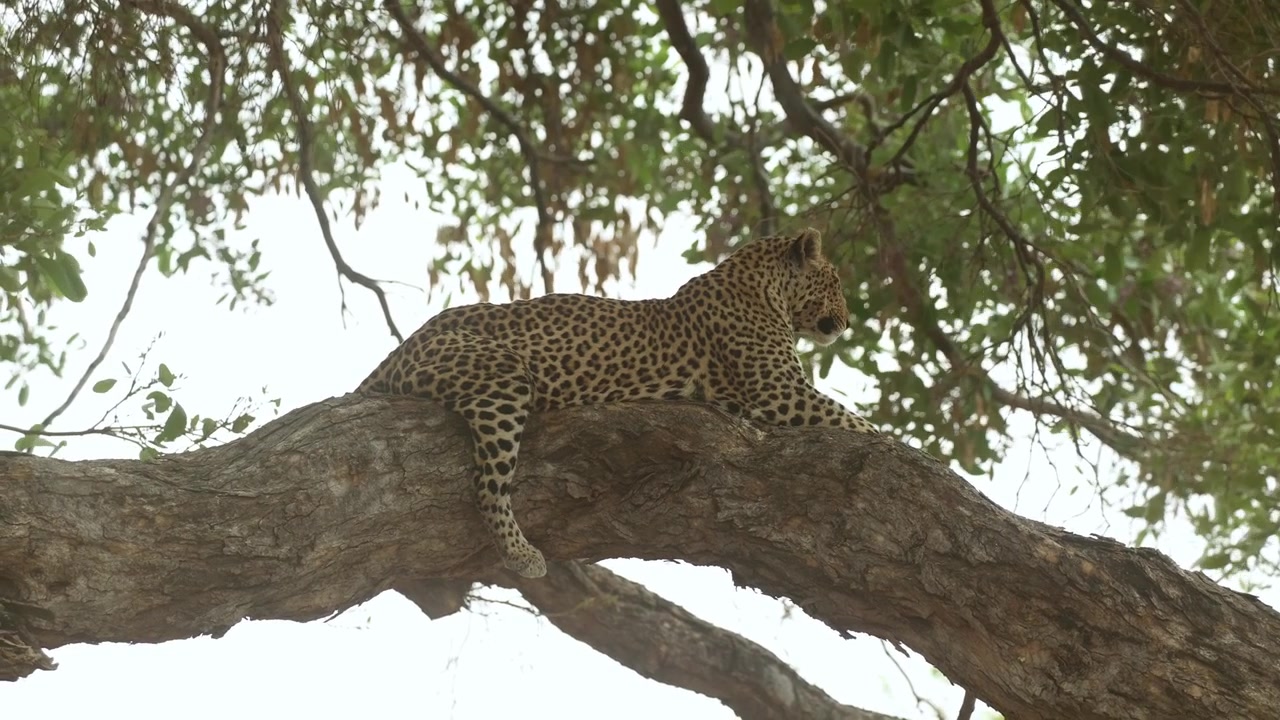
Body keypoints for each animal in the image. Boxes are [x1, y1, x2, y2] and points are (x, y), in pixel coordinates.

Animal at [357, 227, 879, 579]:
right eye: (834, 281)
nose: (848, 322)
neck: (764, 288)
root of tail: (398, 351)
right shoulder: (780, 392)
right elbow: (856, 423)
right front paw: (893, 443)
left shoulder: (784, 391)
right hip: (502, 376)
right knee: (486, 486)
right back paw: (523, 555)